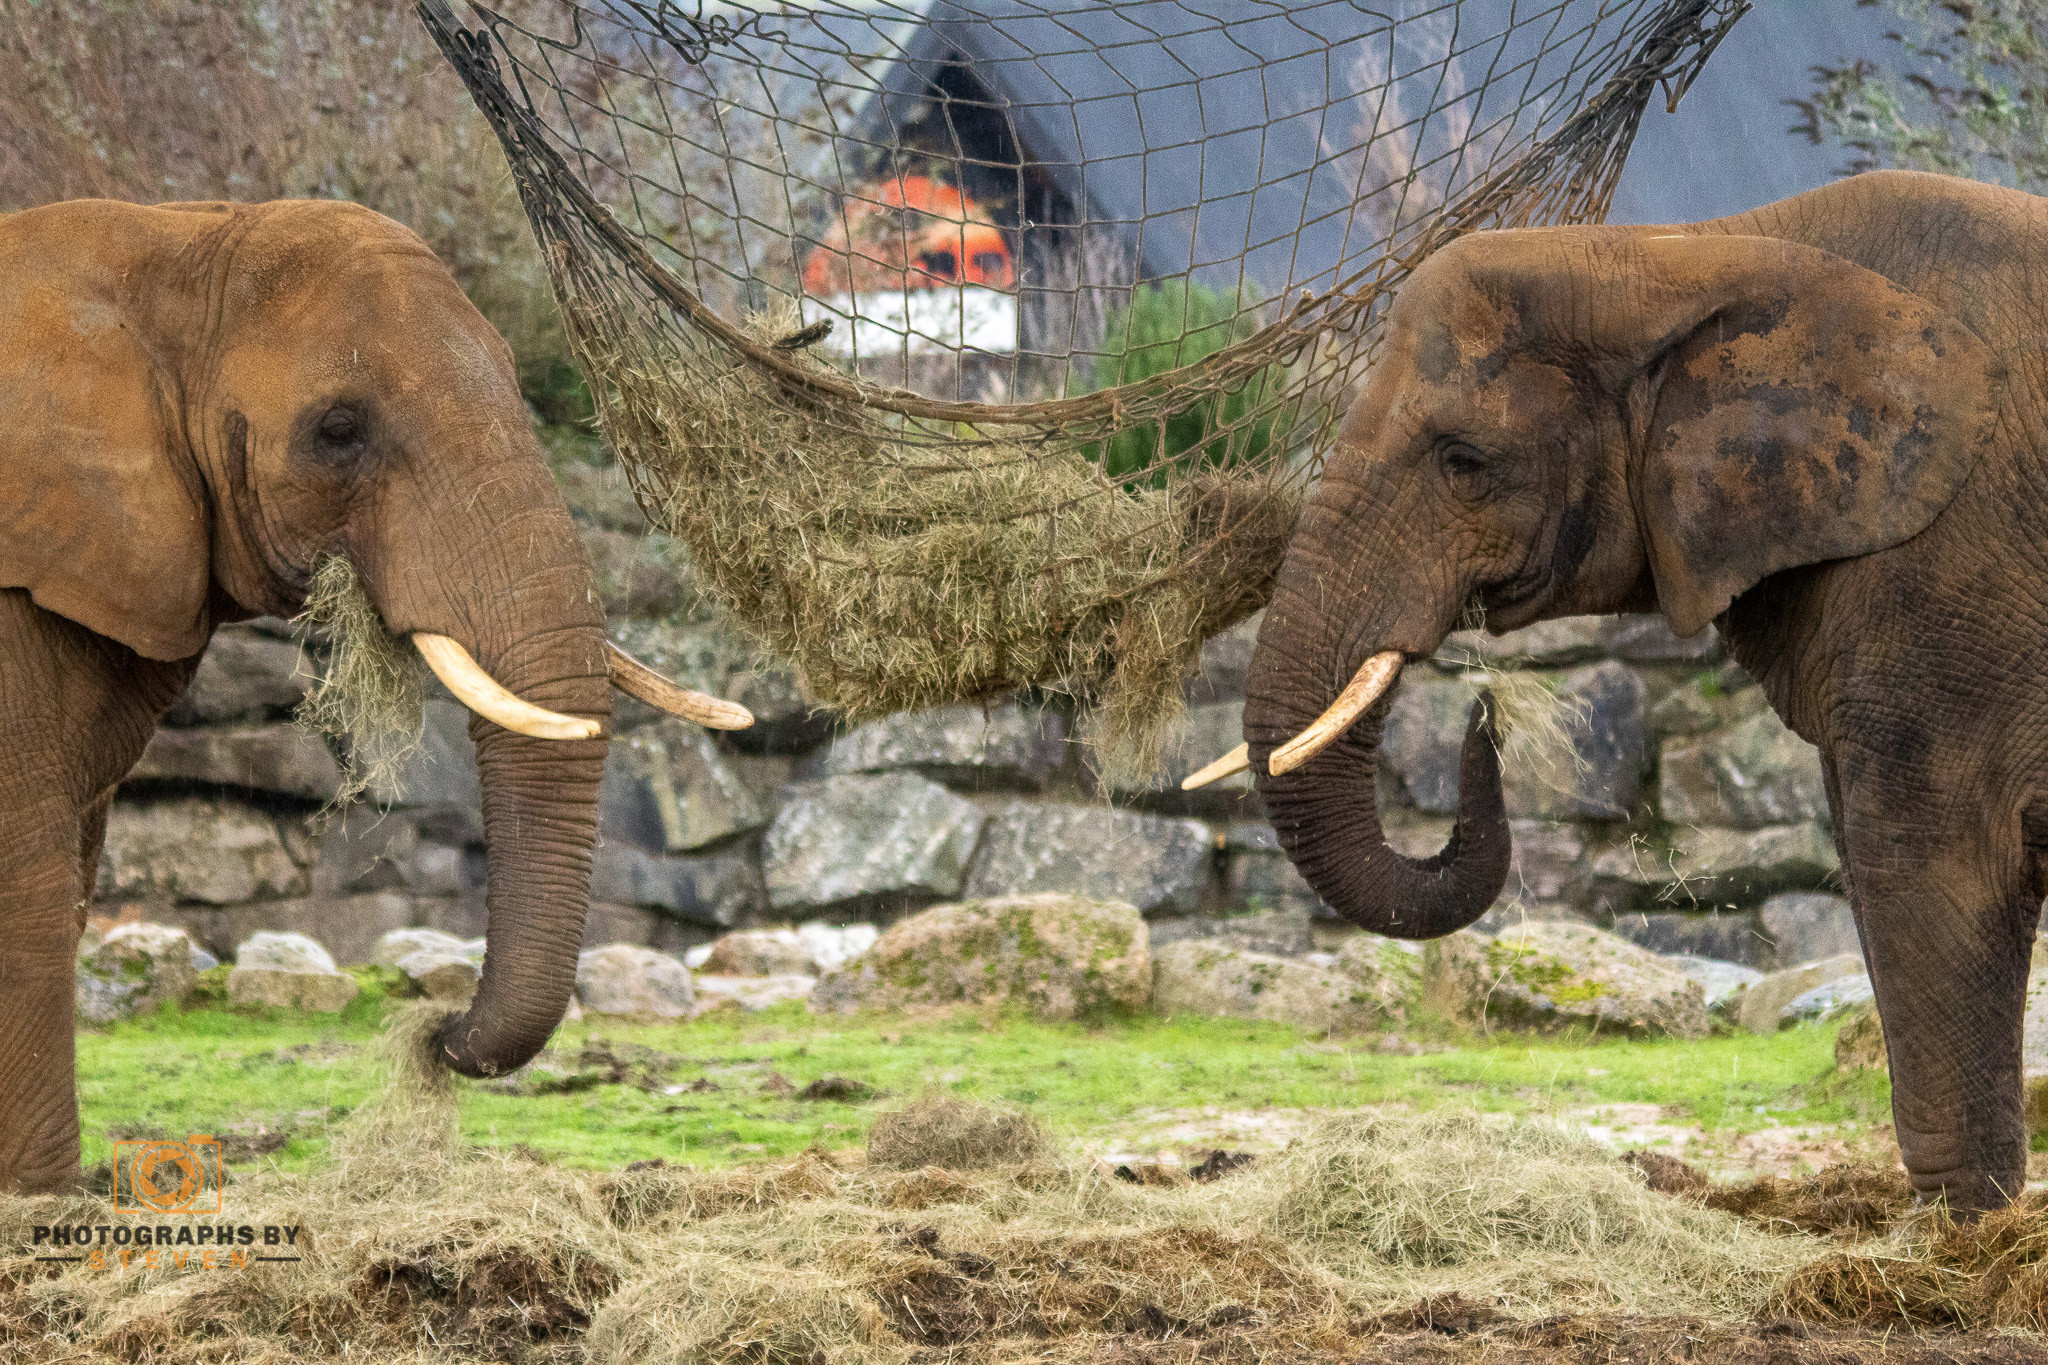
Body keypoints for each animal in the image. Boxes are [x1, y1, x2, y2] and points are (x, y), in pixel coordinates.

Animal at [1187, 168, 2048, 1212]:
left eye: (1464, 462)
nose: (1483, 721)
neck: (1696, 249)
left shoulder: (1948, 567)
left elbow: (1923, 857)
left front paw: (1964, 1233)